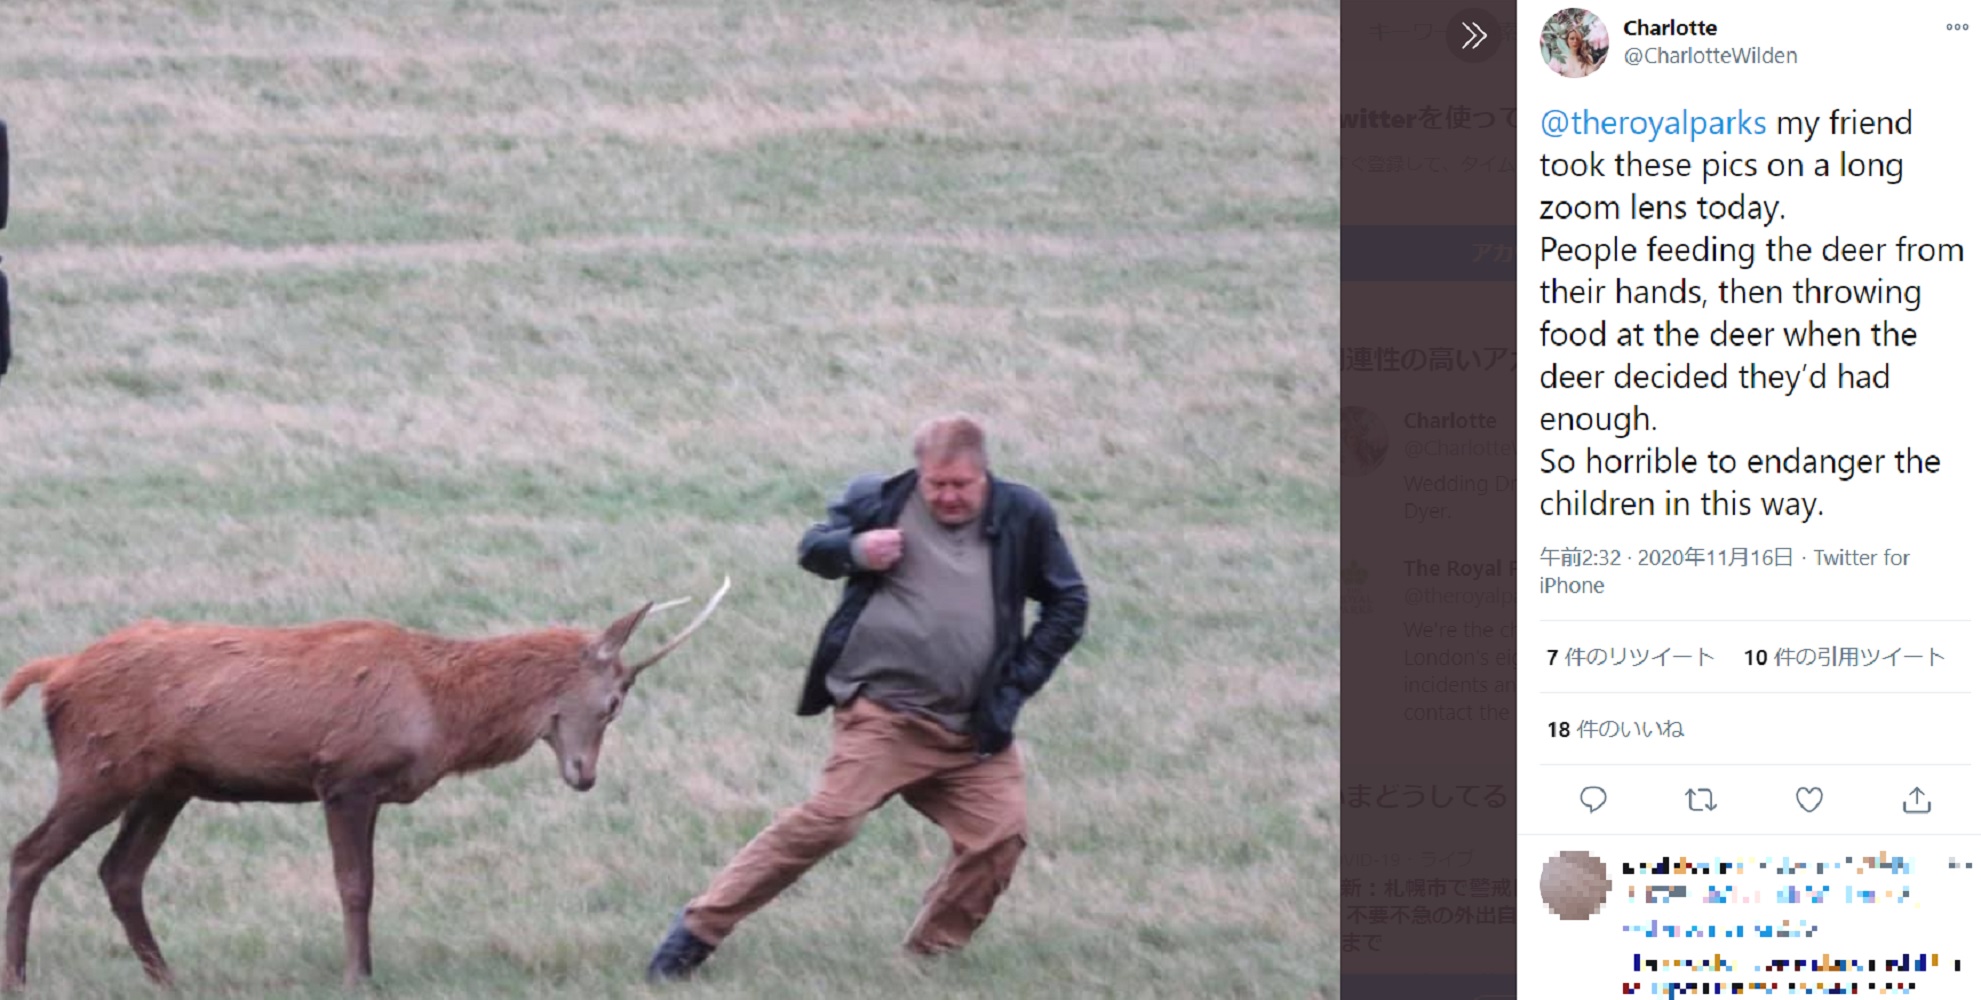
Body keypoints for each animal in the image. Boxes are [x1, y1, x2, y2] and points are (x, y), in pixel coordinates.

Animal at [0, 578, 729, 990]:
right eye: (613, 702)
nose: (585, 775)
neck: (441, 709)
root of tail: (55, 673)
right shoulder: (345, 776)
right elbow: (354, 885)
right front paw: (356, 975)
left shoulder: (371, 790)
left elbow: (368, 884)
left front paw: (367, 969)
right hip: (99, 767)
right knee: (30, 854)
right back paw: (20, 974)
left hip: (165, 785)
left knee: (120, 872)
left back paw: (166, 977)